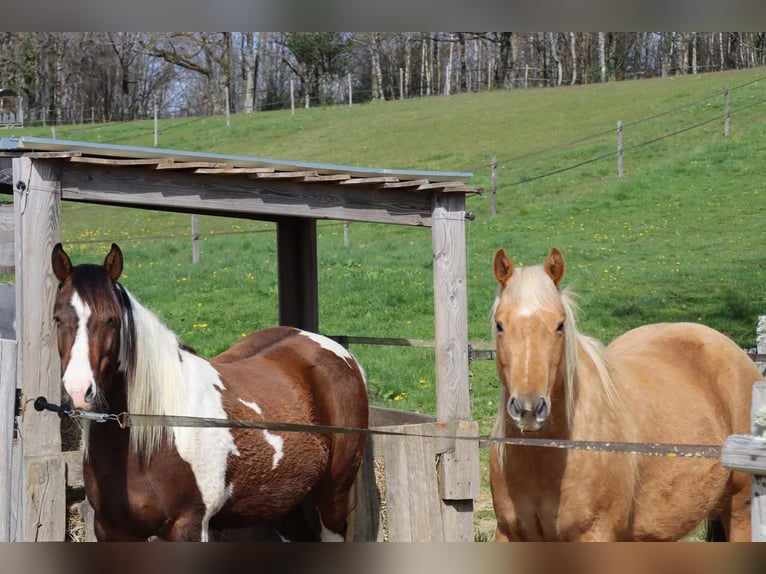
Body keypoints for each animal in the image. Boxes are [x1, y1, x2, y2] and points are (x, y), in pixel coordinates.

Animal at [51, 242, 369, 542]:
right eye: (57, 319)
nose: (78, 390)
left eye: (111, 320)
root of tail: (338, 352)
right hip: (281, 500)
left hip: (332, 494)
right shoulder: (111, 530)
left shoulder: (189, 525)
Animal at [489, 246, 762, 541]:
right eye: (500, 325)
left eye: (560, 325)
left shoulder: (595, 533)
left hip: (741, 513)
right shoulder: (508, 533)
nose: (528, 409)